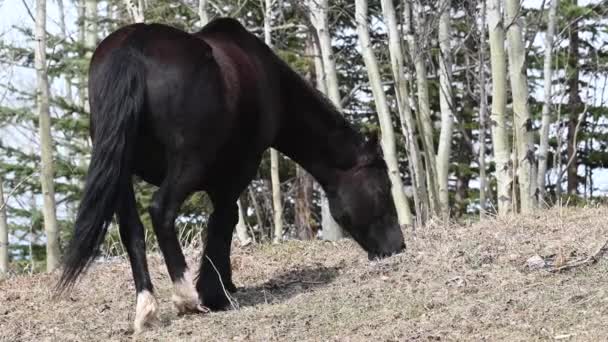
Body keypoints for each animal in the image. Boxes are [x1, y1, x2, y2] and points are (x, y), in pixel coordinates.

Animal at [54, 17, 406, 332]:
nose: (398, 246)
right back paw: (186, 296)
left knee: (131, 229)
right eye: (383, 187)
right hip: (187, 164)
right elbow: (224, 223)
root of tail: (134, 45)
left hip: (122, 171)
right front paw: (217, 293)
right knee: (161, 211)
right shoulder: (237, 171)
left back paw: (147, 308)